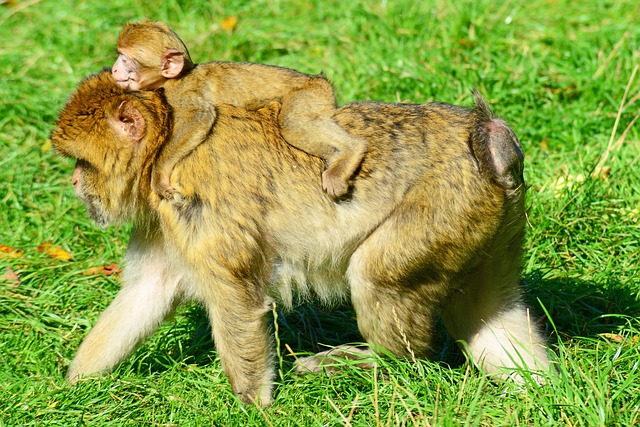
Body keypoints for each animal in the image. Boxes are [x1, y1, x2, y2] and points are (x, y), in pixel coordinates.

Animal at [51, 70, 550, 406]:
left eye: (82, 163)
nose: (74, 183)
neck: (162, 149)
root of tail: (490, 141)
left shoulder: (193, 203)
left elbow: (237, 301)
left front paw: (252, 408)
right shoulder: (164, 221)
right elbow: (146, 293)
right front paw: (72, 390)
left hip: (441, 209)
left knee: (375, 275)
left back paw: (374, 363)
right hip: (487, 227)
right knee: (490, 315)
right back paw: (545, 389)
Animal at [112, 20, 367, 200]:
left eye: (126, 59)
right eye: (120, 55)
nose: (114, 69)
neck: (176, 78)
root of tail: (320, 81)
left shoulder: (181, 94)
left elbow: (199, 117)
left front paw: (159, 176)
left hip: (311, 94)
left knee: (292, 123)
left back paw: (352, 150)